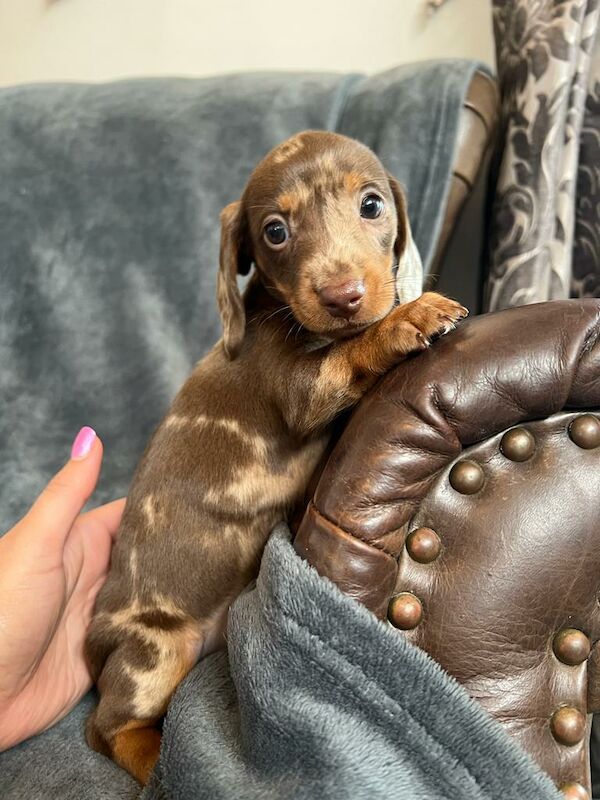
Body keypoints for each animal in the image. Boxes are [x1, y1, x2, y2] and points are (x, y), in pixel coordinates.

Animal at [84, 130, 468, 780]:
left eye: (372, 205)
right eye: (275, 231)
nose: (343, 297)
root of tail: (92, 642)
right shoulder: (300, 387)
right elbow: (352, 352)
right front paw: (407, 317)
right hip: (153, 651)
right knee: (106, 728)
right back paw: (159, 763)